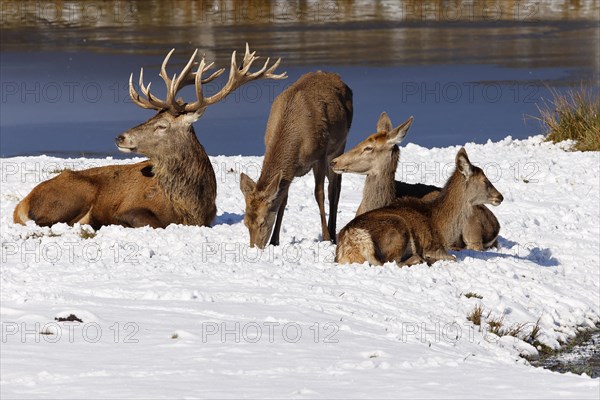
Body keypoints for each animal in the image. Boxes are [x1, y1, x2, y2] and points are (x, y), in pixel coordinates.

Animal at [13, 44, 286, 230]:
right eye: (150, 118)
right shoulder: (128, 209)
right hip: (74, 194)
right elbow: (151, 222)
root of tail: (21, 205)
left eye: (162, 125)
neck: (190, 206)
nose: (120, 137)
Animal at [239, 70, 352, 248]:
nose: (254, 247)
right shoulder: (289, 172)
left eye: (262, 222)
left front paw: (326, 237)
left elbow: (319, 193)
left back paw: (333, 234)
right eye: (245, 222)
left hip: (340, 144)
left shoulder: (320, 154)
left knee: (334, 187)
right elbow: (283, 200)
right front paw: (275, 240)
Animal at [336, 147, 504, 266]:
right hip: (397, 230)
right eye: (485, 180)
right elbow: (452, 257)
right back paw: (419, 258)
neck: (441, 226)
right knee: (392, 261)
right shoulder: (433, 246)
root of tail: (352, 239)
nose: (500, 197)